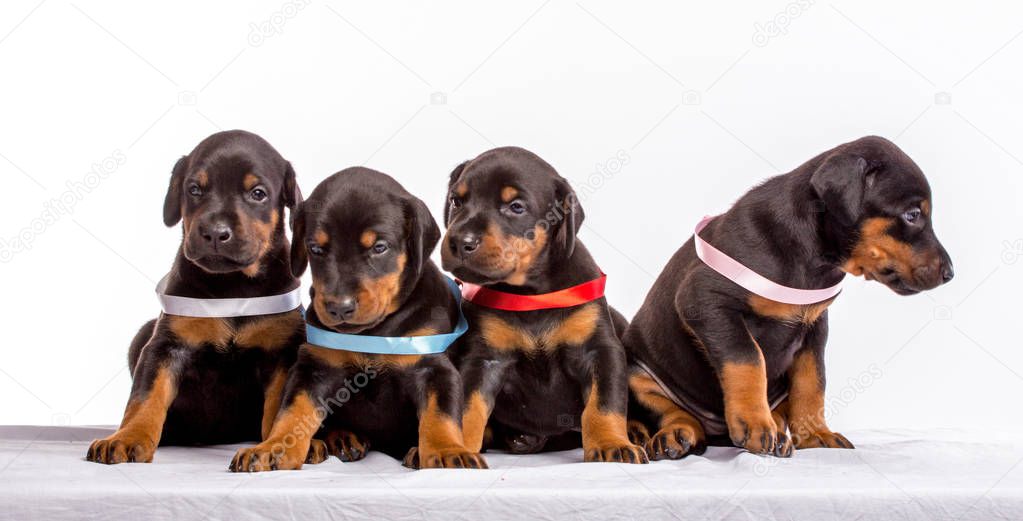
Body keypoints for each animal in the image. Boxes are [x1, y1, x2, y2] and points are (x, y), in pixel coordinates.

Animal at [86, 129, 302, 462]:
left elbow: (277, 406)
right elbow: (145, 397)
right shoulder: (166, 346)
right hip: (144, 333)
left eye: (258, 193)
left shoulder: (281, 352)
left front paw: (272, 447)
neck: (232, 288)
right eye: (194, 189)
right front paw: (127, 437)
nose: (215, 233)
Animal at [232, 167, 486, 470]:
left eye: (379, 247)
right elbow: (292, 411)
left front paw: (448, 451)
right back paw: (340, 438)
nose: (339, 307)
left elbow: (440, 415)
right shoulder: (314, 368)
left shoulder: (433, 367)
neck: (374, 332)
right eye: (316, 249)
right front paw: (274, 447)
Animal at [441, 146, 646, 462]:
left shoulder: (600, 350)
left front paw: (612, 444)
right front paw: (456, 447)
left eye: (516, 207)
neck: (530, 292)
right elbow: (468, 408)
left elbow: (604, 404)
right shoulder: (484, 359)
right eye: (456, 201)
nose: (461, 241)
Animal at [626, 137, 953, 458]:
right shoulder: (706, 300)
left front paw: (816, 434)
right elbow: (748, 358)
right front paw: (755, 424)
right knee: (674, 412)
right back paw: (678, 434)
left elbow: (812, 381)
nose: (950, 273)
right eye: (913, 215)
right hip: (639, 375)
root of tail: (717, 434)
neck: (813, 256)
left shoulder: (814, 324)